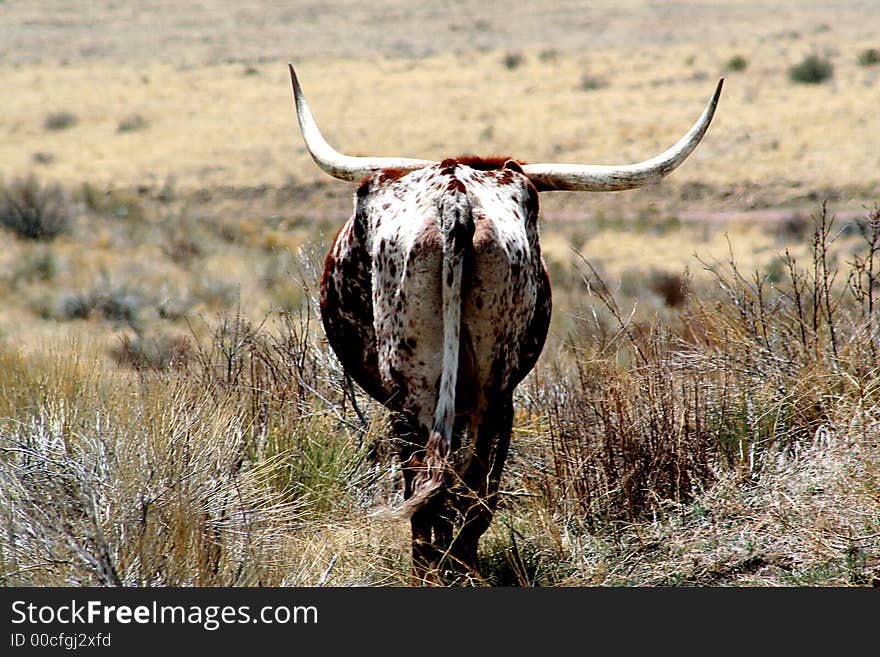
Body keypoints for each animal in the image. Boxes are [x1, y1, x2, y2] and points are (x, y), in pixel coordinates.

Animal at [288, 62, 720, 584]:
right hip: (494, 388)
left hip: (417, 389)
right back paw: (459, 566)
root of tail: (455, 198)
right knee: (471, 485)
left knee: (432, 482)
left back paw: (436, 570)